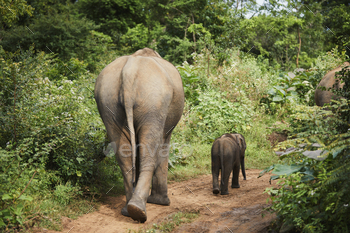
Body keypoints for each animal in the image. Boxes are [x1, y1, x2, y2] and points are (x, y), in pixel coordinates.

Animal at [93, 47, 186, 222]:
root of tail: (129, 71)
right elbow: (163, 144)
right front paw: (161, 202)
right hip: (153, 100)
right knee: (149, 150)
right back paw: (139, 211)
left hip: (108, 101)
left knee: (123, 155)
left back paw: (130, 211)